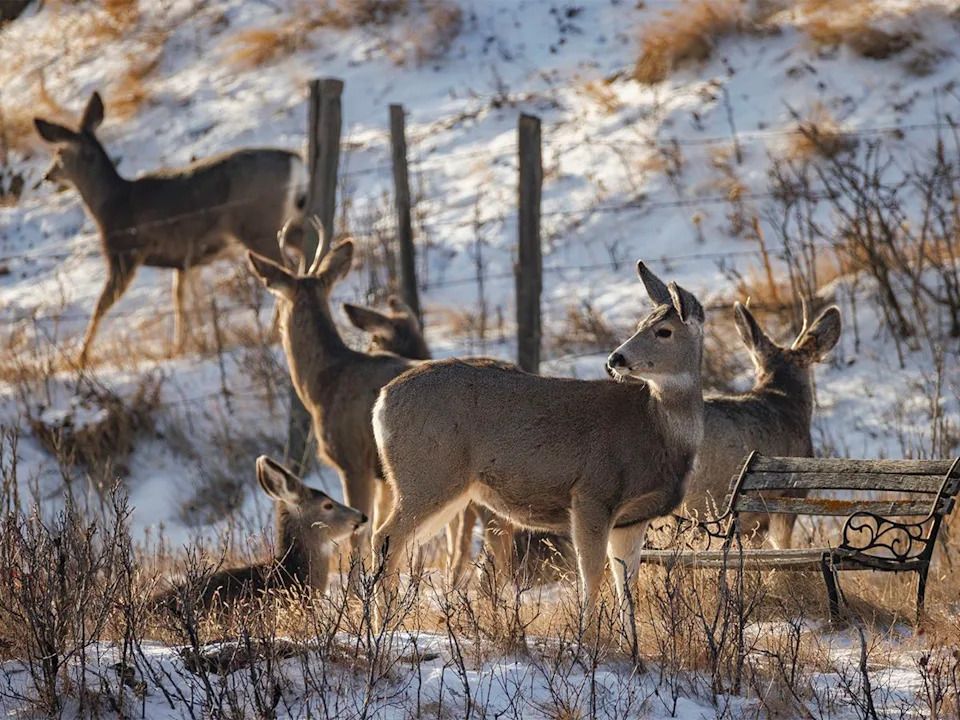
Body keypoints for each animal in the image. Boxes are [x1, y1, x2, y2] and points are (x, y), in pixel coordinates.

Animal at [33, 91, 306, 365]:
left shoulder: (124, 252)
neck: (111, 203)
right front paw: (184, 344)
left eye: (59, 151)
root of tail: (295, 159)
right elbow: (184, 298)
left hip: (258, 227)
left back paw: (274, 332)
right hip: (289, 224)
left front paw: (80, 358)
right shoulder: (185, 260)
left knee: (286, 270)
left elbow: (102, 305)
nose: (47, 175)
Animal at [246, 230, 418, 579]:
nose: (274, 325)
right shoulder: (381, 476)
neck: (326, 383)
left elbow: (359, 534)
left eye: (278, 297)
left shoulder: (352, 459)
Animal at [371, 261, 706, 632]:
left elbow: (625, 585)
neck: (656, 430)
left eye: (663, 331)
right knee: (385, 537)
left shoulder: (632, 518)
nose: (615, 358)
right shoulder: (592, 494)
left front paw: (628, 642)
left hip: (445, 487)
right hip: (428, 474)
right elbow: (592, 575)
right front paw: (589, 637)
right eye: (640, 326)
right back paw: (381, 626)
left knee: (397, 542)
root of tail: (381, 402)